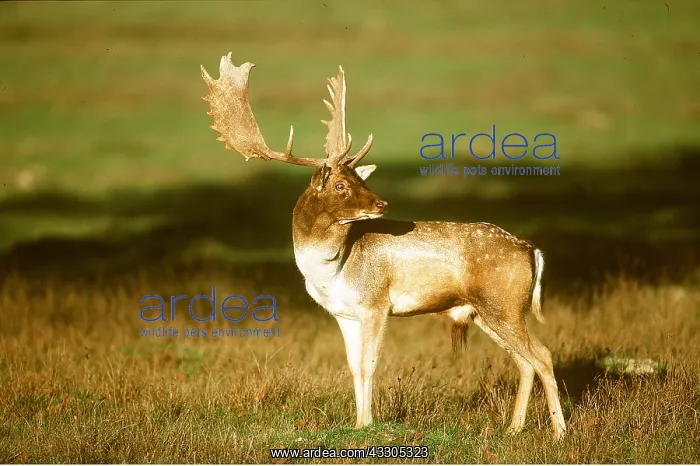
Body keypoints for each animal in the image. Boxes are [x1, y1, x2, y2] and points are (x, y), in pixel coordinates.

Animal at [201, 53, 567, 440]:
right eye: (341, 185)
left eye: (360, 178)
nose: (382, 204)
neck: (336, 269)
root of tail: (532, 251)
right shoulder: (344, 313)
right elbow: (354, 366)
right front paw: (357, 422)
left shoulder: (376, 303)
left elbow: (370, 364)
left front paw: (367, 423)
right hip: (487, 311)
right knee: (525, 362)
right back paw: (513, 429)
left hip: (504, 304)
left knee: (542, 355)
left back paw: (559, 432)